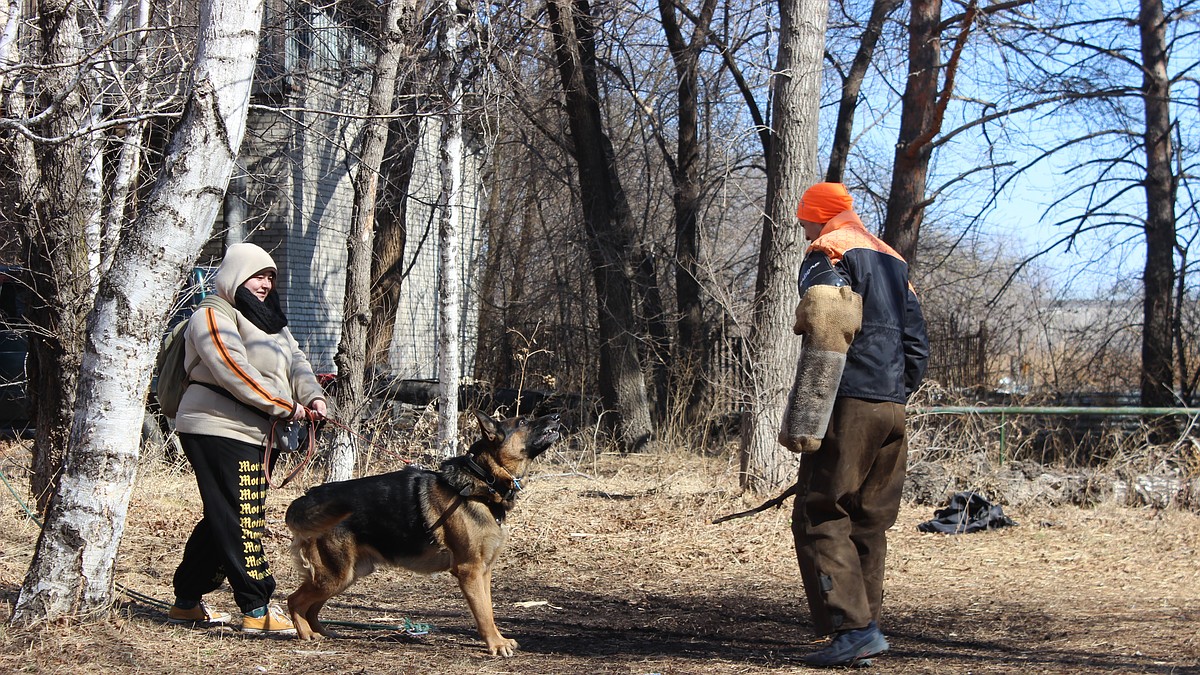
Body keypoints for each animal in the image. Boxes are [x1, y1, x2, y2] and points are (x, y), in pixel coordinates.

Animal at [285, 408, 561, 653]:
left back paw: (321, 631)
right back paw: (306, 633)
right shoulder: (470, 571)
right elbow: (482, 612)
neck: (484, 480)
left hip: (346, 575)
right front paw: (495, 645)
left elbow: (489, 610)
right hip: (335, 576)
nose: (556, 416)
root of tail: (306, 499)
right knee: (294, 600)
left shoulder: (484, 572)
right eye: (523, 421)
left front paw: (498, 639)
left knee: (312, 606)